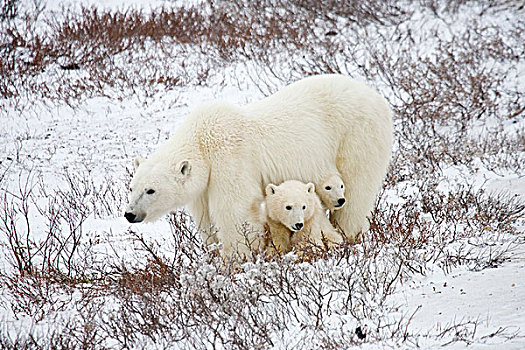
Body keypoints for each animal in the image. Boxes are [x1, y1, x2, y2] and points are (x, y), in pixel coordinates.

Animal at [125, 75, 390, 258]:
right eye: (132, 187)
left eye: (151, 190)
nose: (130, 214)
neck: (202, 142)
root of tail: (376, 96)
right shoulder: (203, 186)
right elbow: (206, 219)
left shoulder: (230, 159)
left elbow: (235, 211)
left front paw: (236, 260)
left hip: (357, 135)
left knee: (355, 191)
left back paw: (348, 234)